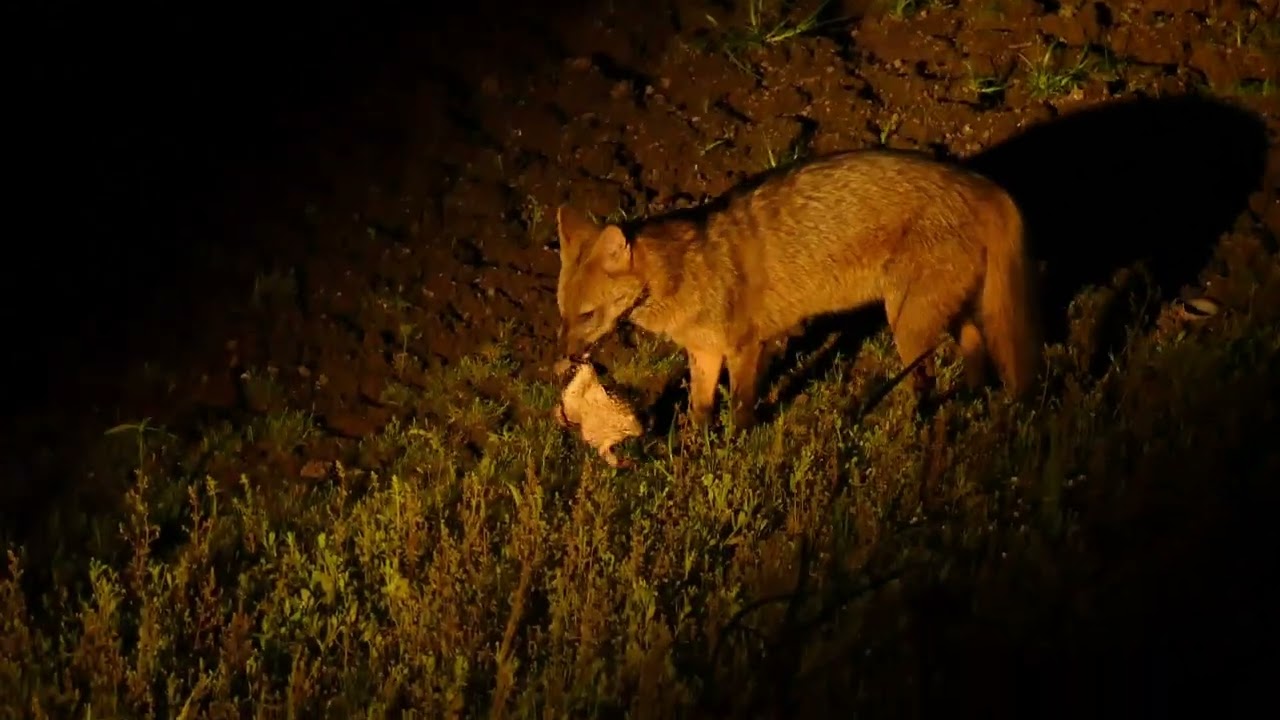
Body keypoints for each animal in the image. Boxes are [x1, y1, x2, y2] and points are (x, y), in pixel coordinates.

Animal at [554, 147, 1042, 431]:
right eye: (563, 314)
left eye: (587, 314)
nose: (566, 360)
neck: (687, 273)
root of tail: (985, 186)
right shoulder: (706, 353)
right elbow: (700, 410)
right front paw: (700, 453)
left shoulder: (745, 347)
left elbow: (742, 408)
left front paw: (738, 448)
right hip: (943, 314)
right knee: (975, 351)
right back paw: (972, 400)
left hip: (907, 325)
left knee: (928, 380)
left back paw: (918, 423)